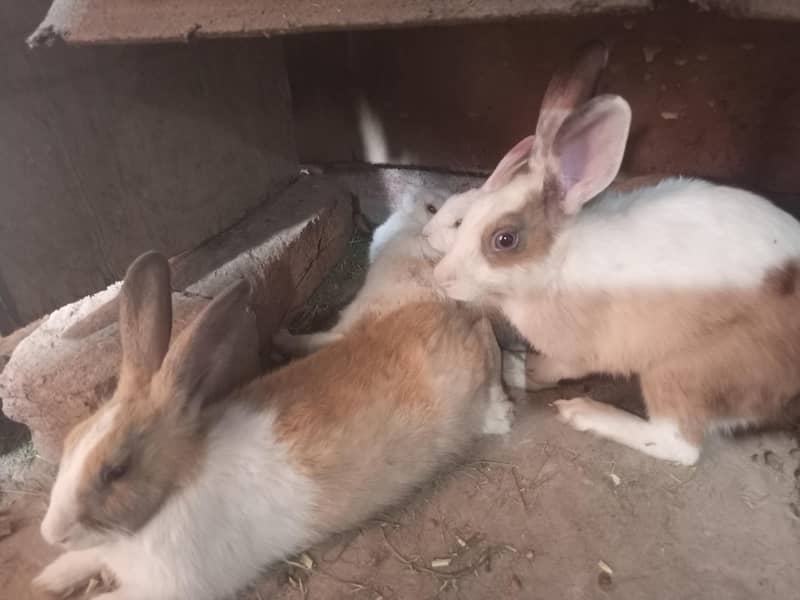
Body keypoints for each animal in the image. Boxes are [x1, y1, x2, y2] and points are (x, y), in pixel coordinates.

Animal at [34, 250, 514, 600]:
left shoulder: (170, 589)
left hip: (474, 373)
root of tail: (453, 313)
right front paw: (47, 579)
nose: (51, 533)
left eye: (116, 470)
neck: (175, 487)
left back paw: (501, 416)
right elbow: (82, 561)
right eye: (71, 441)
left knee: (490, 359)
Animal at [433, 65, 800, 466]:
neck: (558, 260)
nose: (440, 278)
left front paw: (522, 370)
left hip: (682, 370)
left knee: (679, 445)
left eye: (504, 240)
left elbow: (551, 369)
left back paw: (583, 412)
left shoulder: (578, 351)